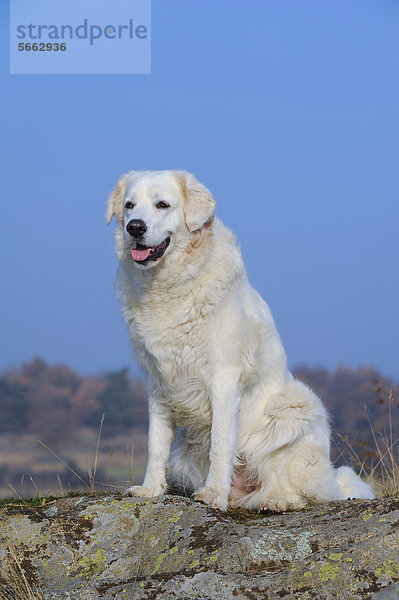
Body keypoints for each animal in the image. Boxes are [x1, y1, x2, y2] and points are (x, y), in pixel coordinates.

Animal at [107, 171, 376, 512]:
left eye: (162, 204)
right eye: (129, 206)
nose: (134, 227)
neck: (170, 285)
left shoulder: (223, 377)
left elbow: (222, 444)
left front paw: (212, 494)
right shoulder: (158, 383)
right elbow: (156, 443)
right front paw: (151, 489)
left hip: (295, 407)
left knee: (297, 490)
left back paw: (274, 500)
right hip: (186, 451)